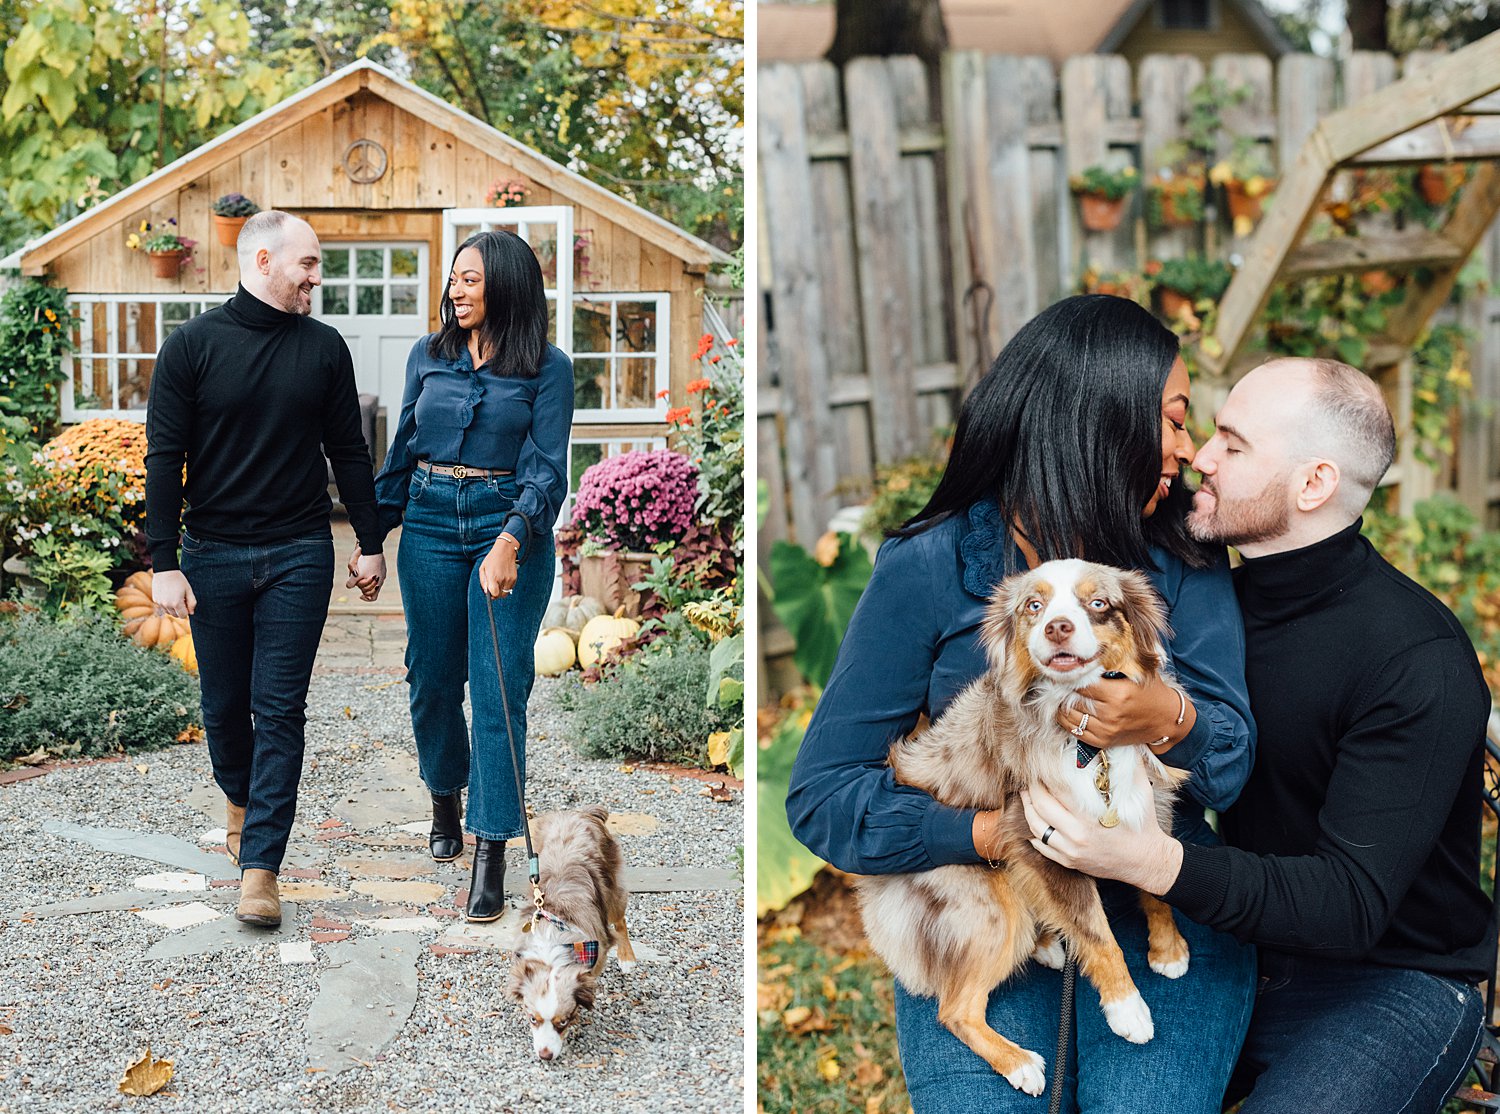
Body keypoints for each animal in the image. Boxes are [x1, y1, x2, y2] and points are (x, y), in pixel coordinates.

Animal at [507, 803, 636, 1061]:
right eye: (532, 1019)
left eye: (563, 1022)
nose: (545, 1055)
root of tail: (579, 812)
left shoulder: (598, 949)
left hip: (612, 890)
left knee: (620, 921)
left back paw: (628, 959)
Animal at [864, 557, 1188, 1097]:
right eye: (1033, 607)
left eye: (1097, 603)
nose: (1057, 626)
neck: (1083, 733)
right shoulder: (1039, 837)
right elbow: (1098, 934)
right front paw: (1127, 1008)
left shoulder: (1148, 801)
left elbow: (1156, 883)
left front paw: (1167, 948)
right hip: (992, 906)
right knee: (955, 1011)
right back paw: (1019, 1062)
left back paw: (1050, 946)